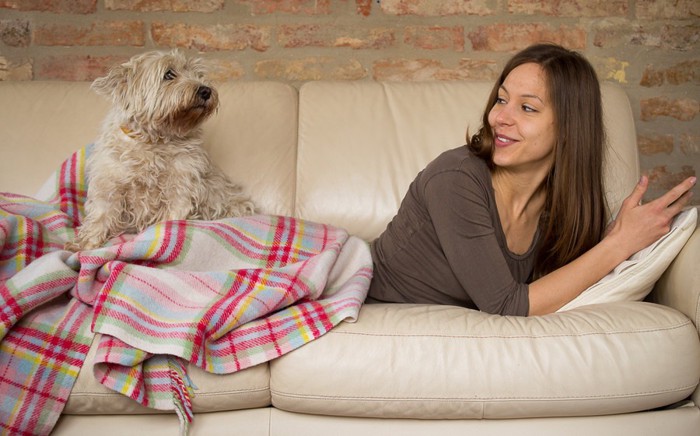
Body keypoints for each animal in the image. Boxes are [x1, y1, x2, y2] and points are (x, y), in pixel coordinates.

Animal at [66, 49, 254, 250]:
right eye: (169, 74)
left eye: (198, 74)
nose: (206, 90)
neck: (153, 140)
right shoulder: (109, 184)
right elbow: (101, 214)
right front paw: (84, 244)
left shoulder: (181, 187)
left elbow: (172, 215)